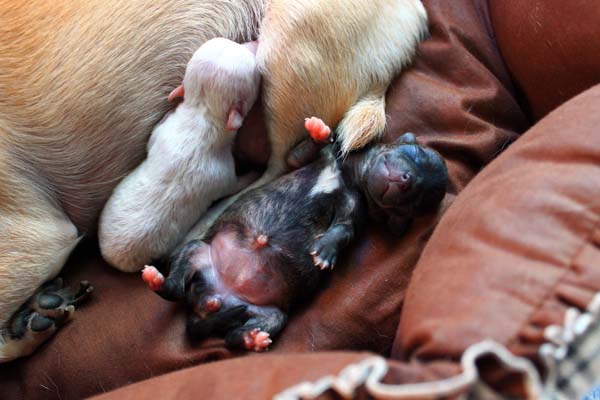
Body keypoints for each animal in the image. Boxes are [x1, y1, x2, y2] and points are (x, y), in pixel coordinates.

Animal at [99, 38, 262, 272]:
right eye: (255, 70)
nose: (256, 39)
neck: (203, 113)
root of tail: (113, 259)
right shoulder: (222, 173)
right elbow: (233, 184)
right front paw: (252, 173)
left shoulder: (162, 131)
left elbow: (154, 135)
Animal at [143, 118, 448, 350]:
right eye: (415, 154)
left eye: (417, 201)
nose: (408, 180)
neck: (347, 177)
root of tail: (212, 299)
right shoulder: (311, 160)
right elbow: (302, 152)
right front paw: (320, 130)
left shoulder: (354, 209)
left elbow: (342, 230)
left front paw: (325, 252)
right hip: (197, 250)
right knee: (175, 287)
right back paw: (158, 278)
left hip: (270, 314)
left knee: (230, 334)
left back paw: (252, 338)